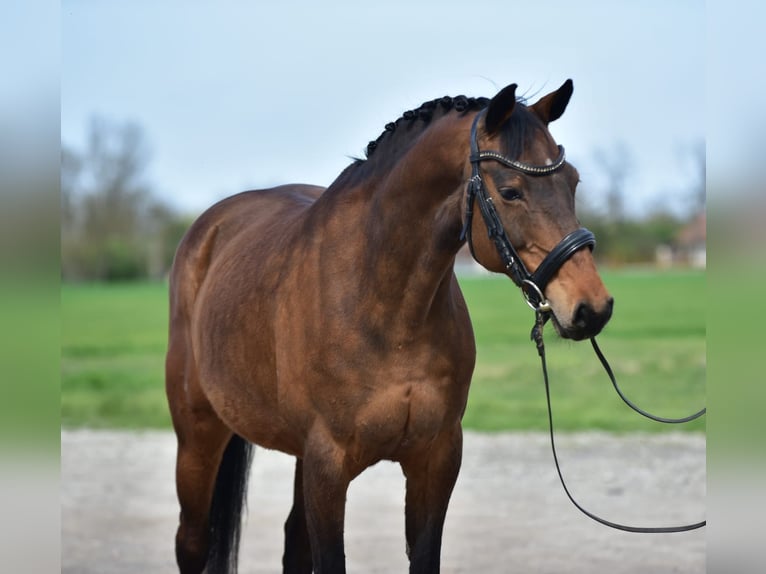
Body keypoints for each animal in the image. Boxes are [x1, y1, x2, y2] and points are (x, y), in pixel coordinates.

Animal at [165, 79, 613, 574]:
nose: (592, 307)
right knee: (192, 541)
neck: (387, 309)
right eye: (512, 191)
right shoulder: (328, 466)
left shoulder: (435, 459)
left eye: (572, 181)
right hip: (198, 435)